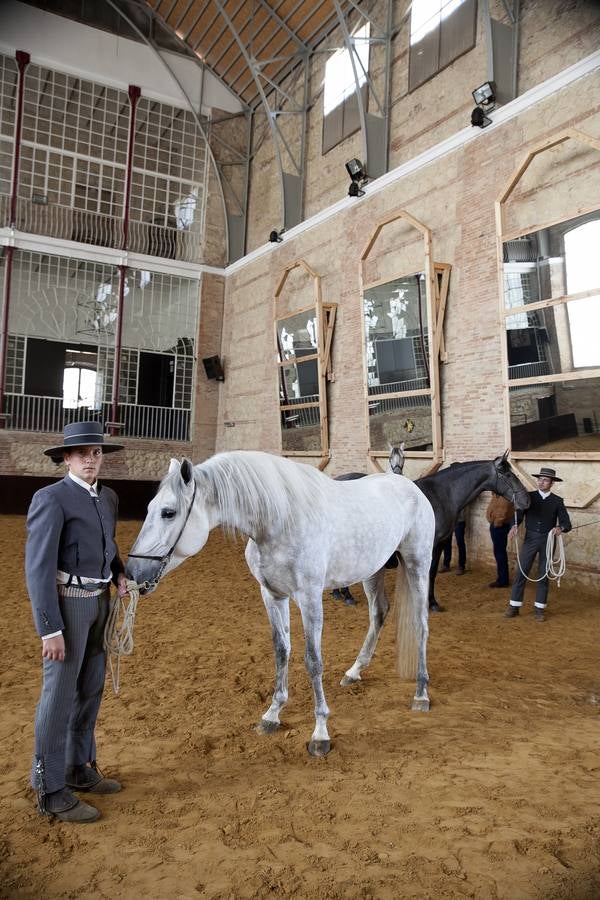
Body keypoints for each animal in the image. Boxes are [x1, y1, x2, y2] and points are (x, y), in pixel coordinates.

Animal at [126, 450, 436, 752]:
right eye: (149, 508)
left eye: (168, 513)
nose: (132, 573)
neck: (280, 520)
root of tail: (408, 485)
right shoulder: (273, 595)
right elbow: (281, 650)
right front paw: (272, 715)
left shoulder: (310, 598)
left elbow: (313, 660)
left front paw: (320, 733)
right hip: (373, 570)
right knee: (379, 613)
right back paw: (354, 672)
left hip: (418, 564)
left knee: (421, 625)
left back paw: (421, 694)